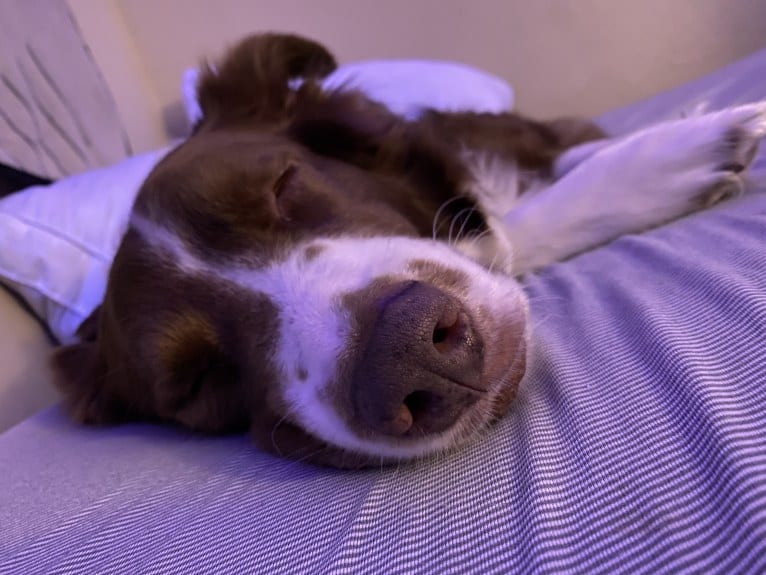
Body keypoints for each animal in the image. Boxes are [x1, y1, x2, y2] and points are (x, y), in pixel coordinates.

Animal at [51, 32, 764, 468]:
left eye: (284, 185)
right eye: (199, 381)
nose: (411, 359)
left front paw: (672, 142)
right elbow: (513, 230)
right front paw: (669, 160)